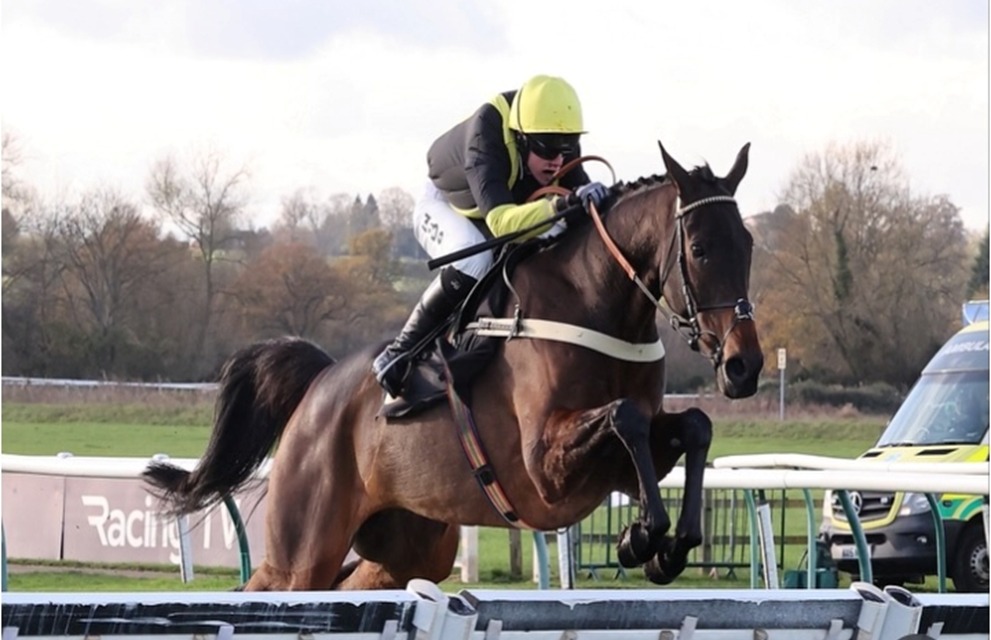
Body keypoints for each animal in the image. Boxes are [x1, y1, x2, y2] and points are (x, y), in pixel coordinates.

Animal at [143, 142, 763, 590]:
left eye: (750, 244)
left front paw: (668, 545)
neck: (594, 303)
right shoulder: (544, 466)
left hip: (408, 549)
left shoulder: (620, 464)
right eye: (700, 249)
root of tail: (319, 383)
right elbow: (623, 417)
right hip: (301, 550)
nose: (745, 366)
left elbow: (692, 426)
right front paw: (643, 537)